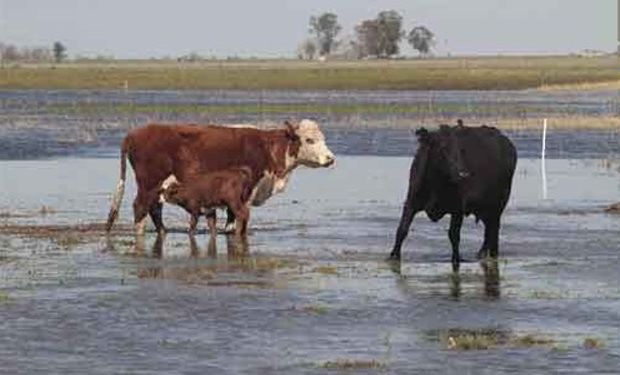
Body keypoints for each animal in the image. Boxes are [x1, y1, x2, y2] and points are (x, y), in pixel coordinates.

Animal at [107, 120, 340, 236]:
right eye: (309, 140)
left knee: (155, 209)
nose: (330, 158)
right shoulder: (244, 193)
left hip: (158, 187)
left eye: (323, 138)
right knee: (140, 208)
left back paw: (163, 232)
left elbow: (229, 218)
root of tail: (135, 133)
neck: (268, 149)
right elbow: (236, 217)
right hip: (148, 184)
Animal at [390, 122, 516, 272]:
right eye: (443, 148)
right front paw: (393, 256)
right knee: (488, 231)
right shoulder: (410, 202)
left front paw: (456, 260)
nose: (463, 174)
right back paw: (481, 254)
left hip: (498, 205)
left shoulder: (458, 209)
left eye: (461, 150)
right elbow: (402, 229)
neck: (436, 184)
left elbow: (454, 235)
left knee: (494, 232)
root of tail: (506, 141)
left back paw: (491, 255)